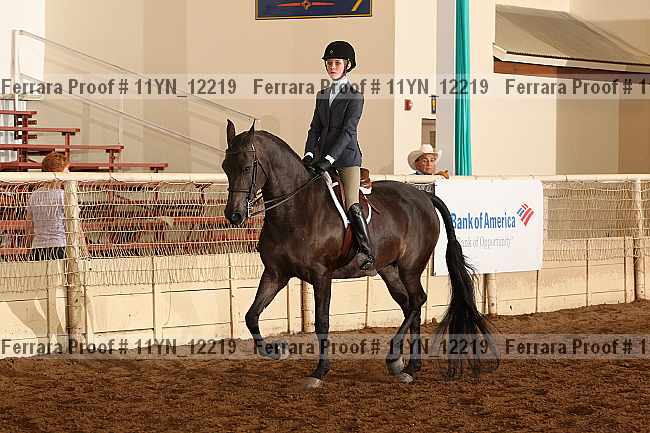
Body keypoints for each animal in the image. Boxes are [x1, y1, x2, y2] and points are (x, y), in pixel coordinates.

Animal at [222, 120, 496, 388]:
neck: (296, 209)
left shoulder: (322, 276)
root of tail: (424, 196)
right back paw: (408, 365)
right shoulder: (275, 274)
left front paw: (319, 371)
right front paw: (275, 350)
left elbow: (322, 322)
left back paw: (397, 360)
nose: (234, 215)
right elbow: (251, 316)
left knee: (417, 300)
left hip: (410, 267)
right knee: (410, 305)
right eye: (225, 167)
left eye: (246, 168)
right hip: (389, 269)